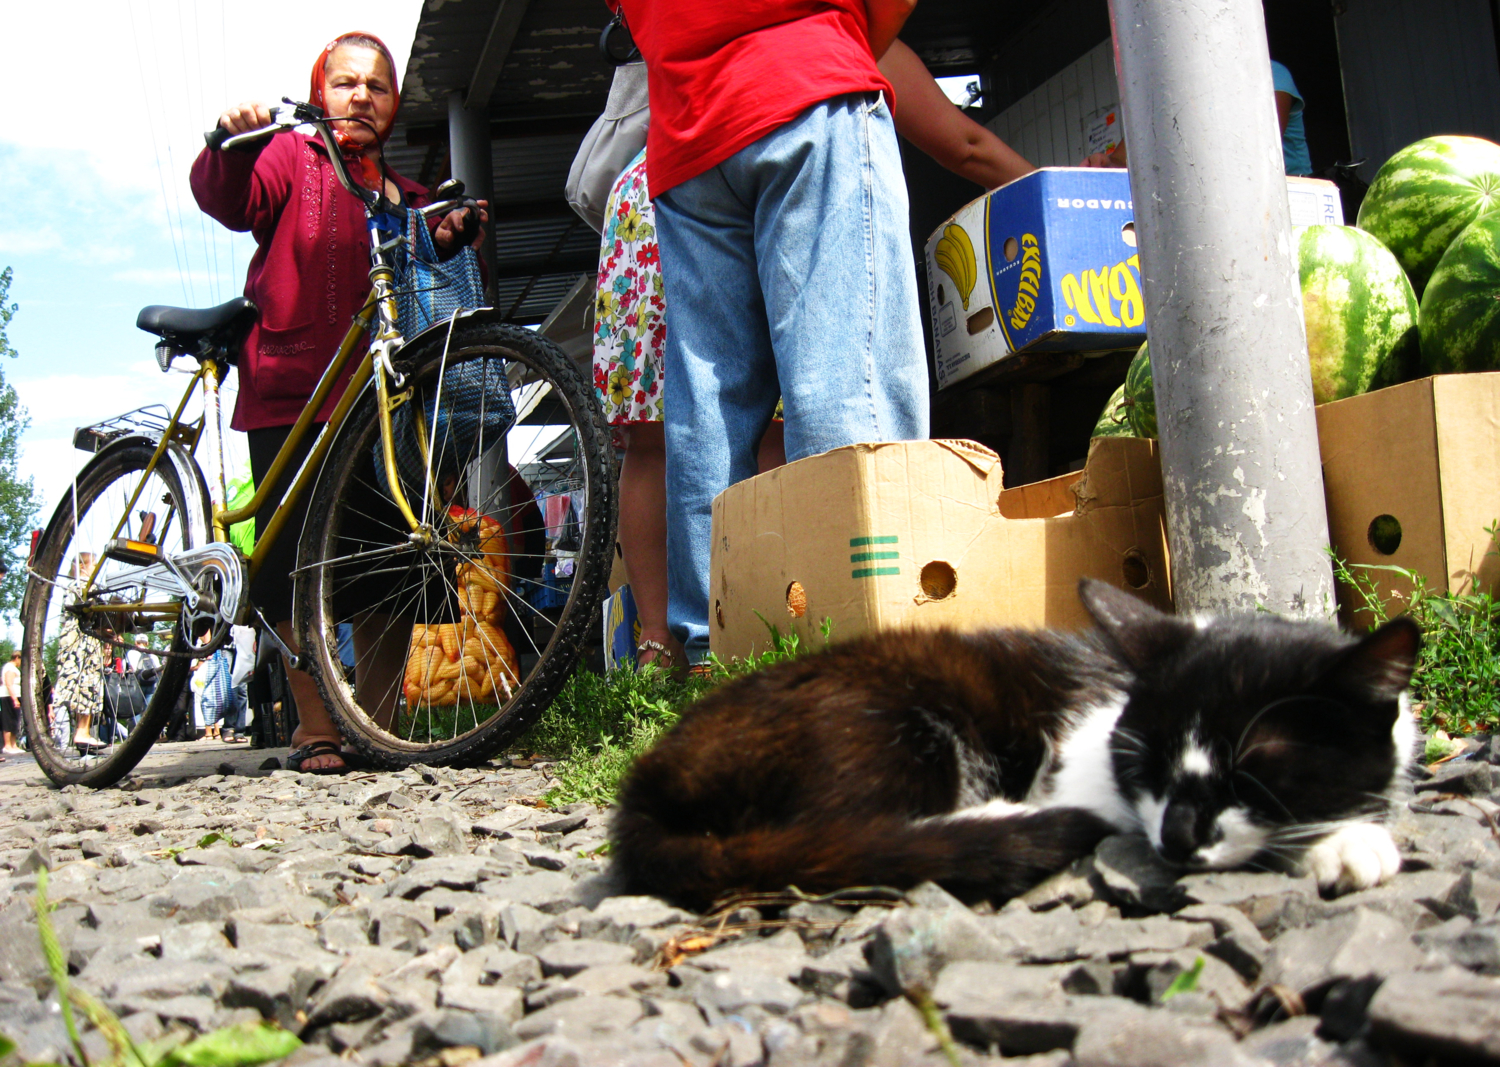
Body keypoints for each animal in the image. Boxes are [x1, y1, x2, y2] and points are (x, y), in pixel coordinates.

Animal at [609, 576, 1416, 912]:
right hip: (888, 716)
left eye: (1254, 770)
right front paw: (1345, 842)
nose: (1180, 836)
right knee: (847, 832)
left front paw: (1346, 834)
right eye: (1145, 758)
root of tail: (644, 782)